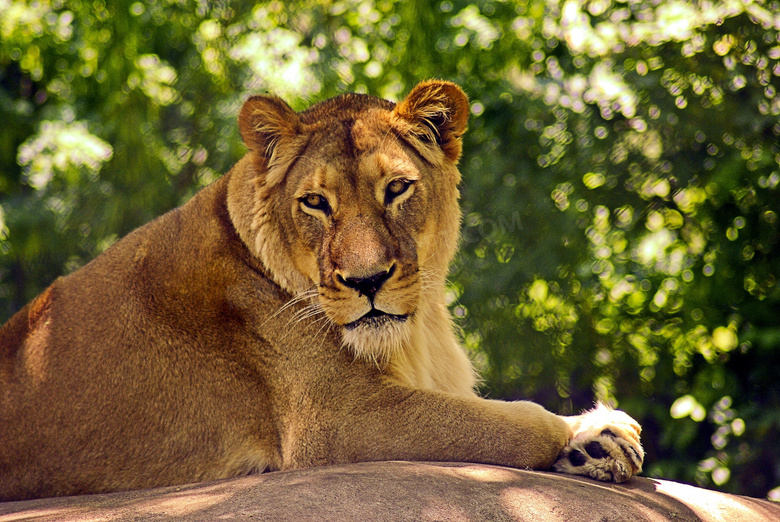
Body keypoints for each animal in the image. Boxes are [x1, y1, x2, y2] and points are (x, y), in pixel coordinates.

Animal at [1, 79, 640, 498]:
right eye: (315, 202)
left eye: (397, 189)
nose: (367, 281)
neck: (420, 330)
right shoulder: (339, 420)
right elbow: (515, 422)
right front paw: (591, 434)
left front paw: (595, 442)